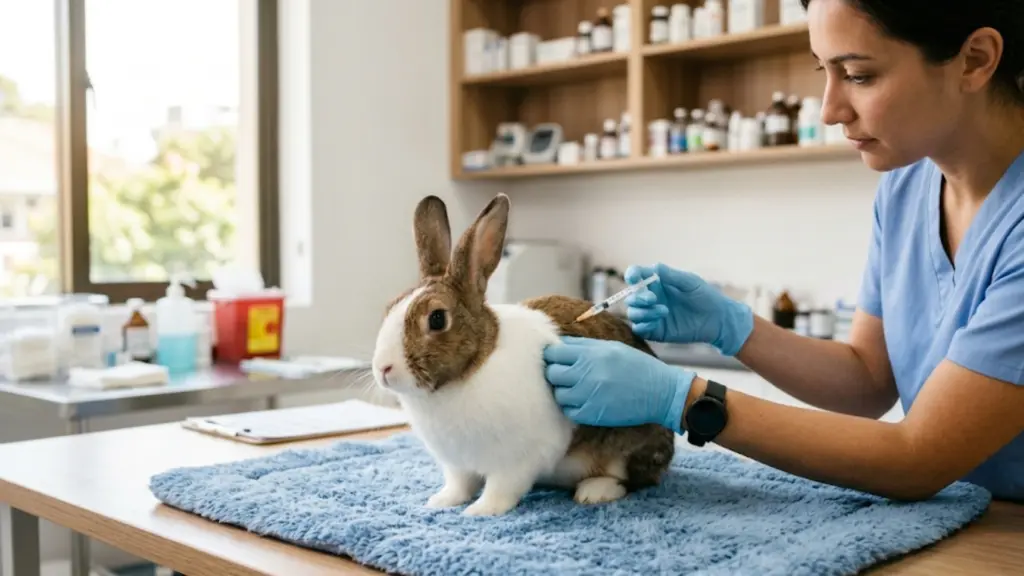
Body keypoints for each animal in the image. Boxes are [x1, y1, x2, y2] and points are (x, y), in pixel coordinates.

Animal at [370, 193, 674, 517]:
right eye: (389, 307)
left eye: (437, 319)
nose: (383, 369)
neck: (473, 368)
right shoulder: (457, 465)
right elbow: (459, 485)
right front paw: (440, 502)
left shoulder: (516, 461)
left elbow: (501, 489)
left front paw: (480, 511)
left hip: (625, 447)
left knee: (631, 480)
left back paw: (594, 492)